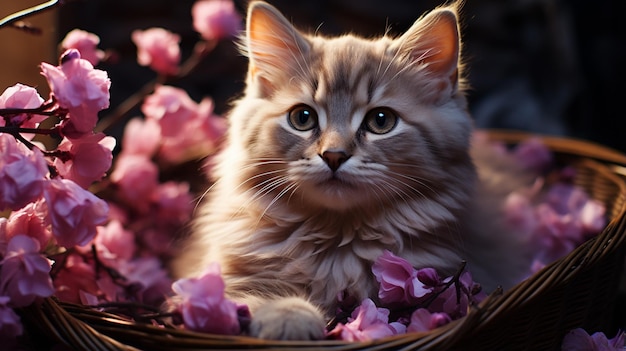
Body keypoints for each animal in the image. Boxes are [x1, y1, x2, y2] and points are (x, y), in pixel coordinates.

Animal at [173, 0, 528, 340]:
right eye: (302, 118)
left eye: (381, 121)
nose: (333, 155)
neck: (337, 244)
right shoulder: (212, 282)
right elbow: (246, 298)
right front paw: (288, 318)